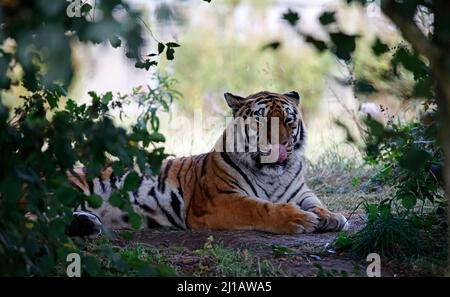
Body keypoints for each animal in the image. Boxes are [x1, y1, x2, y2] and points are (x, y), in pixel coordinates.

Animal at [66, 90, 348, 236]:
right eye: (261, 119)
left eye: (289, 120)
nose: (281, 144)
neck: (272, 174)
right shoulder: (219, 199)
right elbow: (260, 208)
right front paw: (300, 219)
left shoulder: (302, 193)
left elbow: (318, 204)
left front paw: (332, 217)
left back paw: (87, 224)